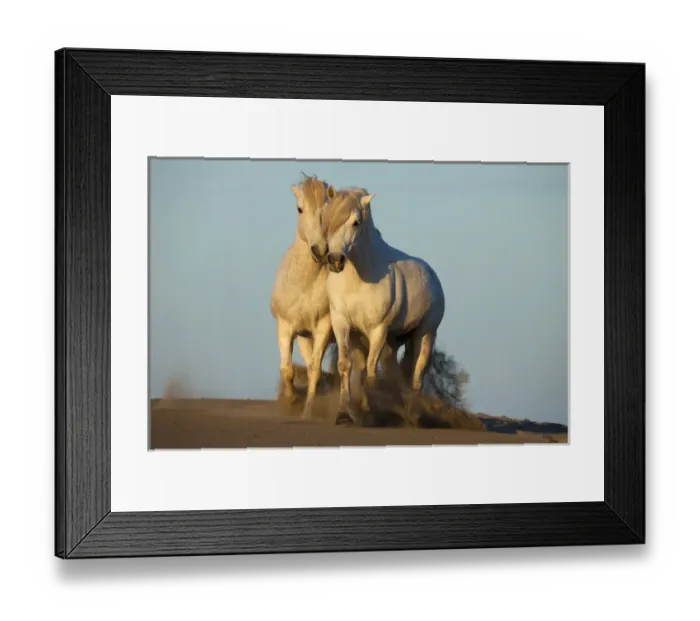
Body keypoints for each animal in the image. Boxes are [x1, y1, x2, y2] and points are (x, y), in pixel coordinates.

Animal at [323, 189, 446, 424]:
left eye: (356, 223)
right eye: (327, 220)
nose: (335, 260)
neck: (358, 279)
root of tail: (433, 276)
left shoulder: (378, 330)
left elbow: (371, 370)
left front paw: (371, 411)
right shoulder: (342, 324)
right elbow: (346, 366)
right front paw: (344, 414)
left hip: (425, 334)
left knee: (417, 374)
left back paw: (413, 416)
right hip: (391, 341)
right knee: (395, 372)